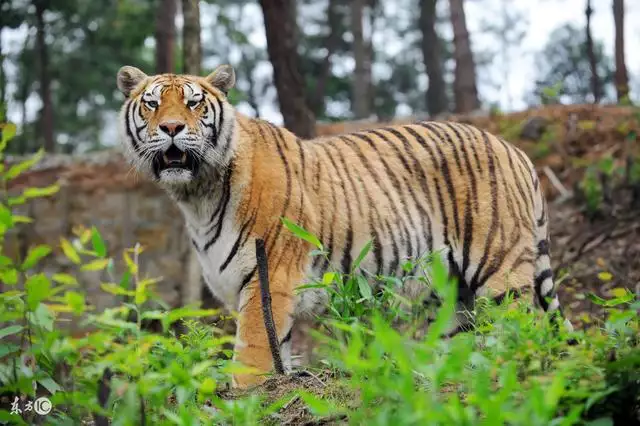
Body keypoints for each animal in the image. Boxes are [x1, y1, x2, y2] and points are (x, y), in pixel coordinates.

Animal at [116, 64, 576, 390]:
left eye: (194, 104)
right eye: (152, 104)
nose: (171, 128)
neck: (197, 194)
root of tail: (513, 149)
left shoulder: (270, 275)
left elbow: (252, 353)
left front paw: (245, 395)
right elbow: (277, 350)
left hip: (500, 271)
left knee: (525, 328)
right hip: (450, 296)